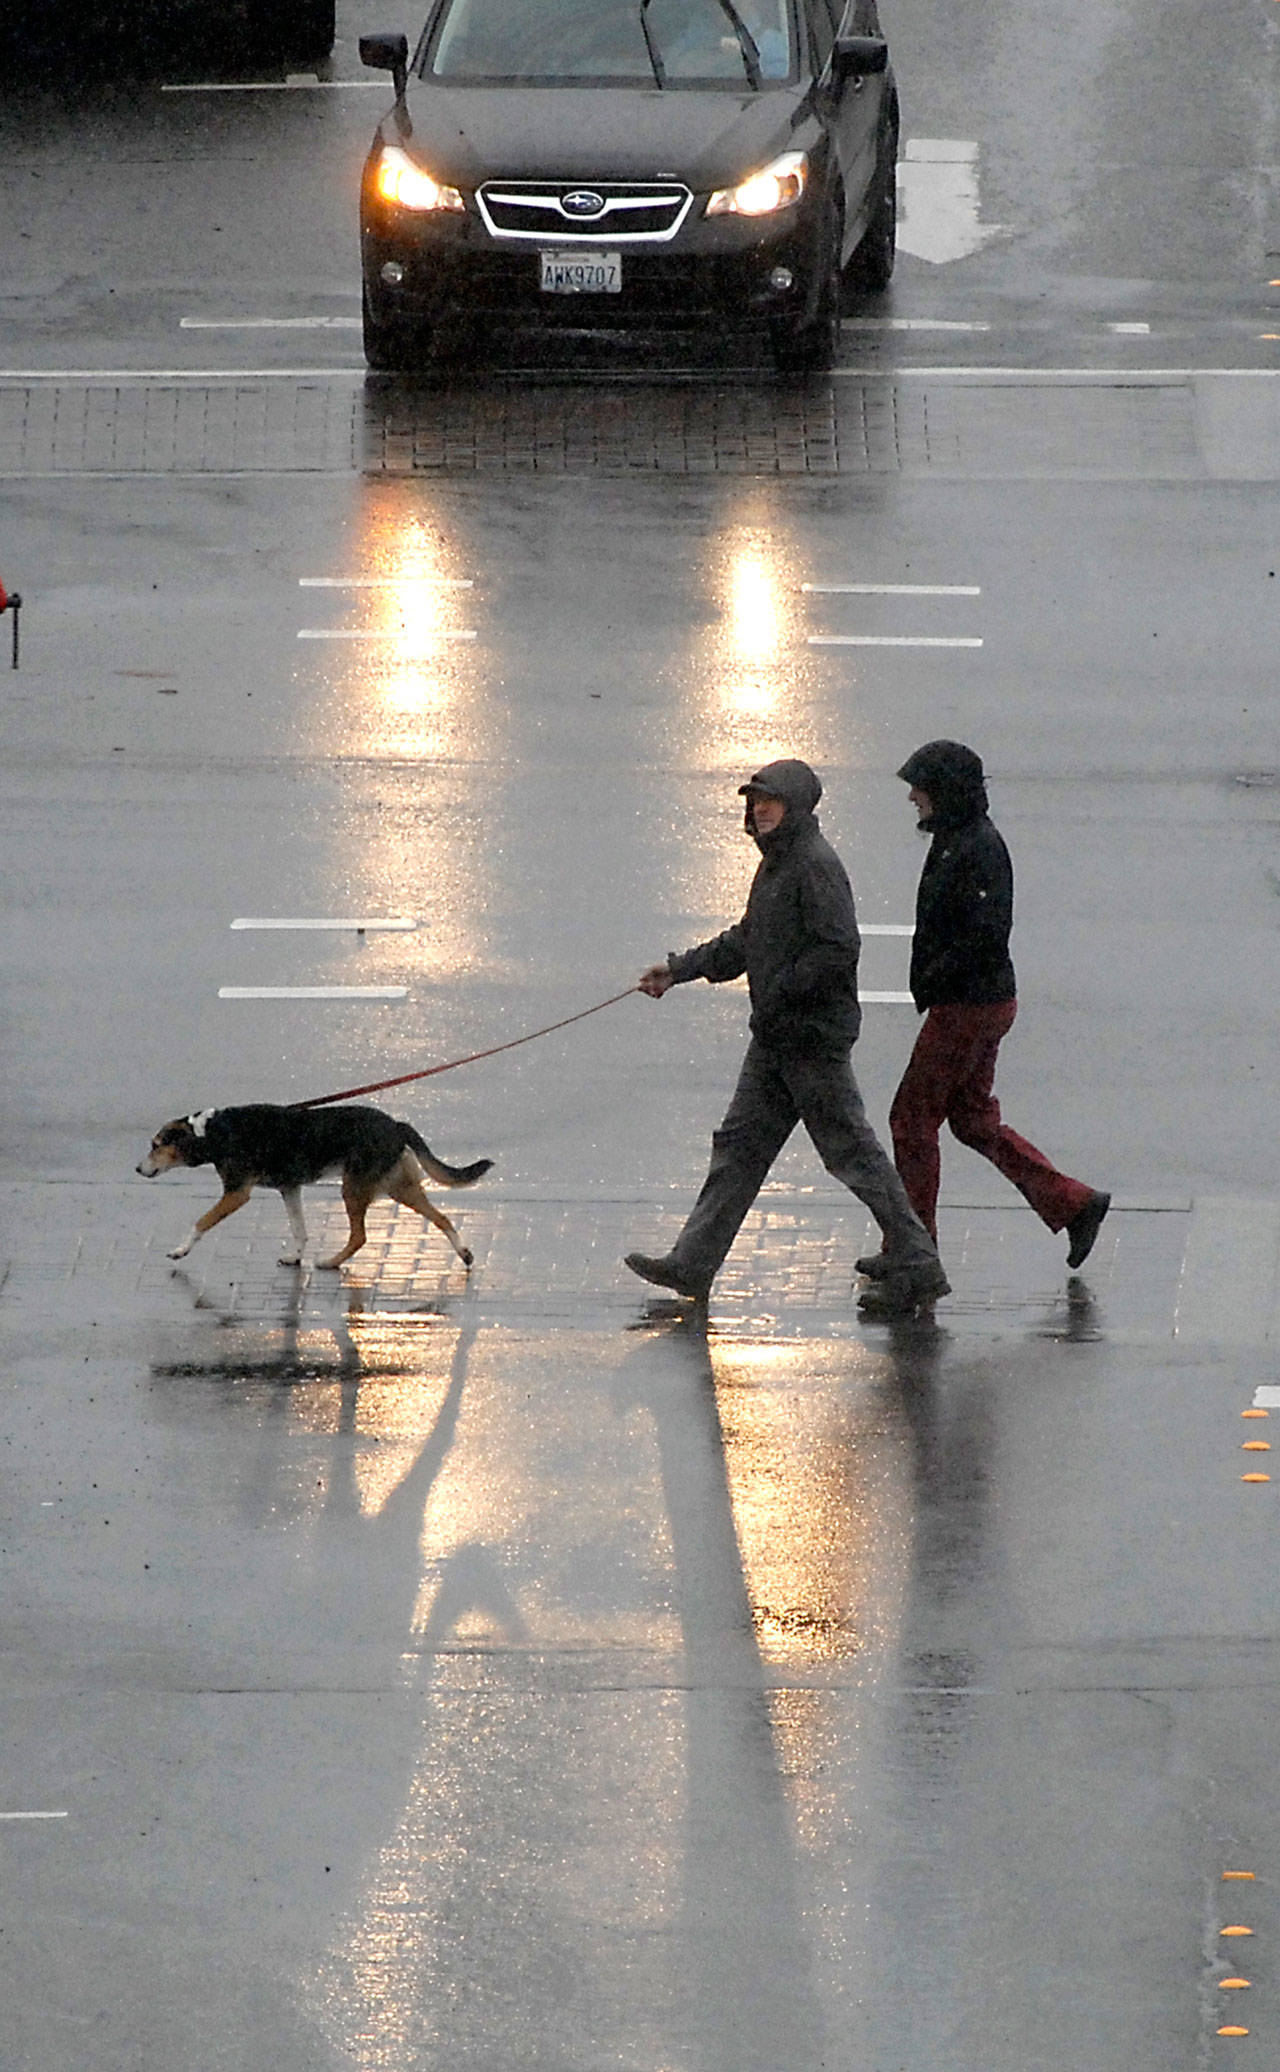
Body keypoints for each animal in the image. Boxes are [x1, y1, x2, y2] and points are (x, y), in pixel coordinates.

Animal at [136, 1110, 490, 1268]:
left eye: (155, 1145)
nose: (138, 1169)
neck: (212, 1133)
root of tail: (397, 1125)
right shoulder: (289, 1189)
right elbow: (299, 1229)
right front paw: (295, 1257)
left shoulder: (237, 1193)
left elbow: (201, 1222)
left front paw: (180, 1250)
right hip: (399, 1187)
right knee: (442, 1218)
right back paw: (464, 1253)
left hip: (355, 1188)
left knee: (360, 1236)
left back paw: (331, 1262)